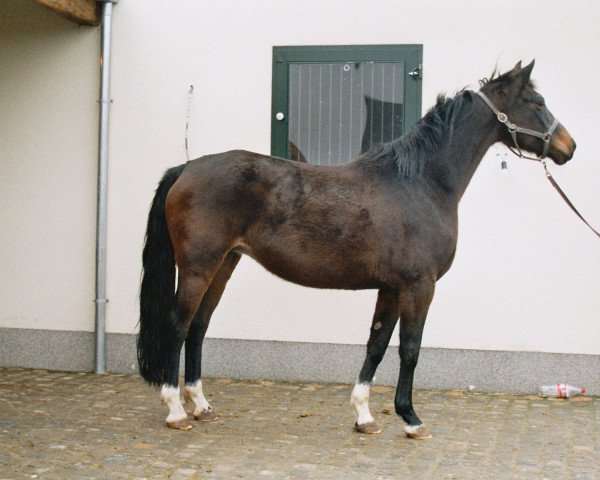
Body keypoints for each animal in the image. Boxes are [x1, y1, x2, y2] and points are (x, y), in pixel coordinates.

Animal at [138, 60, 576, 436]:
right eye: (537, 103)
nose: (568, 147)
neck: (420, 183)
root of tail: (186, 168)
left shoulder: (392, 288)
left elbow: (377, 345)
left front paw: (364, 415)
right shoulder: (419, 286)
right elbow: (410, 349)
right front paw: (410, 418)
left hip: (224, 264)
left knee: (198, 326)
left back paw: (200, 404)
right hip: (198, 267)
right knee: (177, 325)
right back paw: (175, 410)